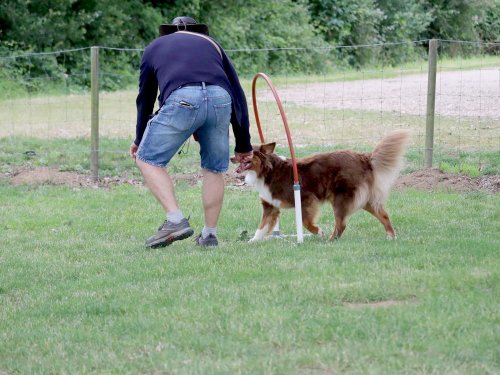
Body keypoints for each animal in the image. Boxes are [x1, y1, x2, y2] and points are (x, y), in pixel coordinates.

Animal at [233, 131, 410, 242]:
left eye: (245, 153)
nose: (230, 158)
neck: (267, 171)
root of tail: (363, 157)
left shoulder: (306, 199)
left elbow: (305, 222)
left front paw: (318, 232)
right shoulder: (270, 206)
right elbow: (262, 227)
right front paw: (252, 241)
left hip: (340, 198)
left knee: (341, 223)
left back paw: (330, 240)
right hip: (363, 199)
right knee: (383, 215)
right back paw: (391, 236)